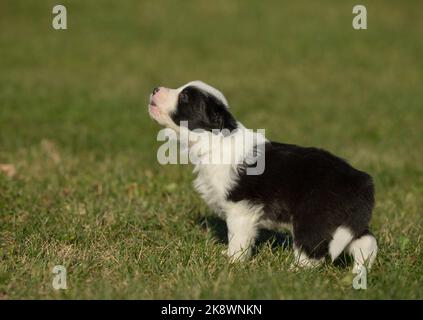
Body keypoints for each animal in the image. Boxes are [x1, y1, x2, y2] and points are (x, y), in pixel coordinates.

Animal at [148, 80, 378, 270]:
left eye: (185, 97)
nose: (155, 89)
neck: (215, 139)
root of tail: (361, 179)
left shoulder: (241, 208)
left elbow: (237, 237)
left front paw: (232, 261)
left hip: (314, 216)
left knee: (312, 252)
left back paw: (294, 271)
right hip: (344, 222)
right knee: (367, 243)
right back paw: (359, 271)